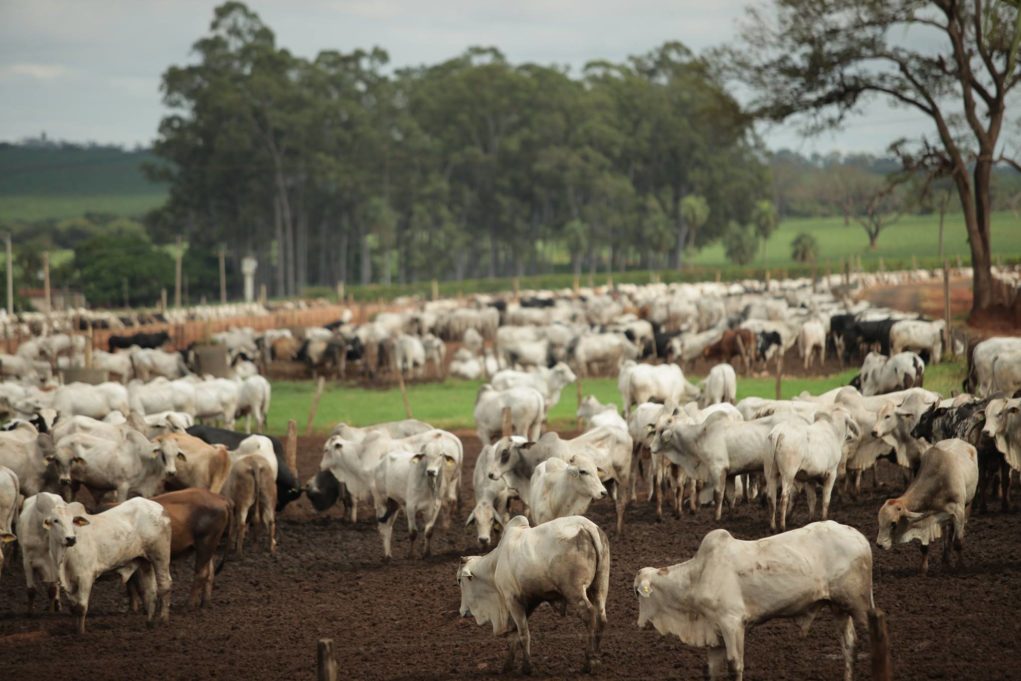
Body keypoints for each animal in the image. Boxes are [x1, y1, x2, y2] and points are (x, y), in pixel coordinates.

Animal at [455, 516, 604, 677]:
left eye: (459, 580)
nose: (462, 611)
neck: (495, 565)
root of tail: (586, 525)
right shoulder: (528, 602)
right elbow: (514, 634)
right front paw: (507, 666)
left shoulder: (512, 600)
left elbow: (523, 634)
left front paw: (527, 667)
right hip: (599, 587)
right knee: (601, 619)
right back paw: (596, 656)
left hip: (574, 591)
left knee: (589, 614)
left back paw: (589, 662)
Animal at [633, 522, 873, 681]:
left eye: (636, 592)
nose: (638, 623)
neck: (697, 577)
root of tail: (860, 537)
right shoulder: (714, 632)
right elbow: (711, 670)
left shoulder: (732, 623)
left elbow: (735, 666)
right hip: (839, 607)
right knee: (850, 646)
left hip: (860, 606)